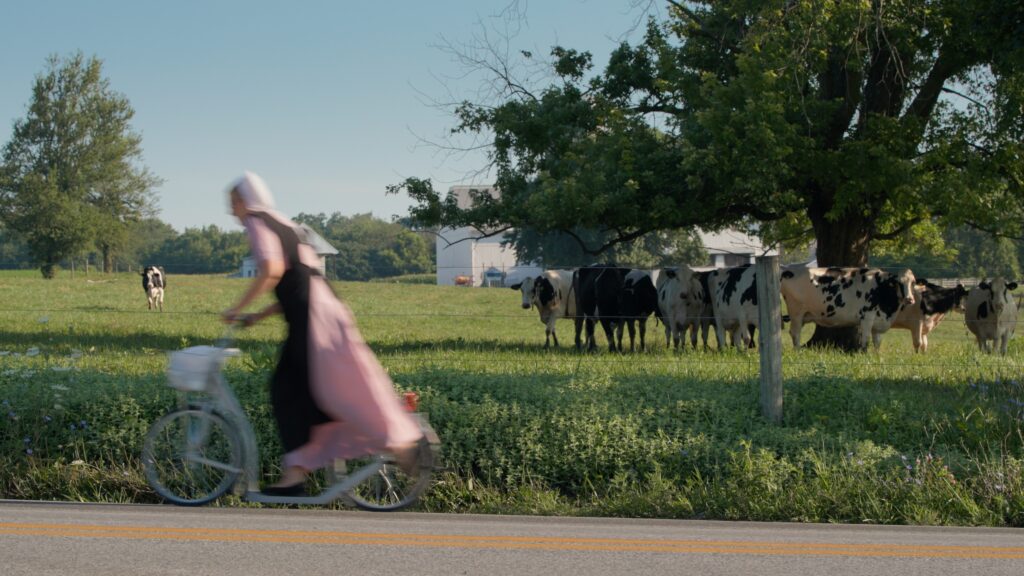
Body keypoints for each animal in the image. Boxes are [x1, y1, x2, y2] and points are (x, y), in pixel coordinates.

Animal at [778, 266, 917, 350]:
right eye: (899, 283)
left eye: (913, 282)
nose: (910, 299)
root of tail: (789, 270)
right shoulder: (867, 318)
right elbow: (865, 340)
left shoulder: (878, 321)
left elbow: (877, 343)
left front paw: (877, 358)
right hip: (796, 312)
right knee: (795, 333)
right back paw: (798, 350)